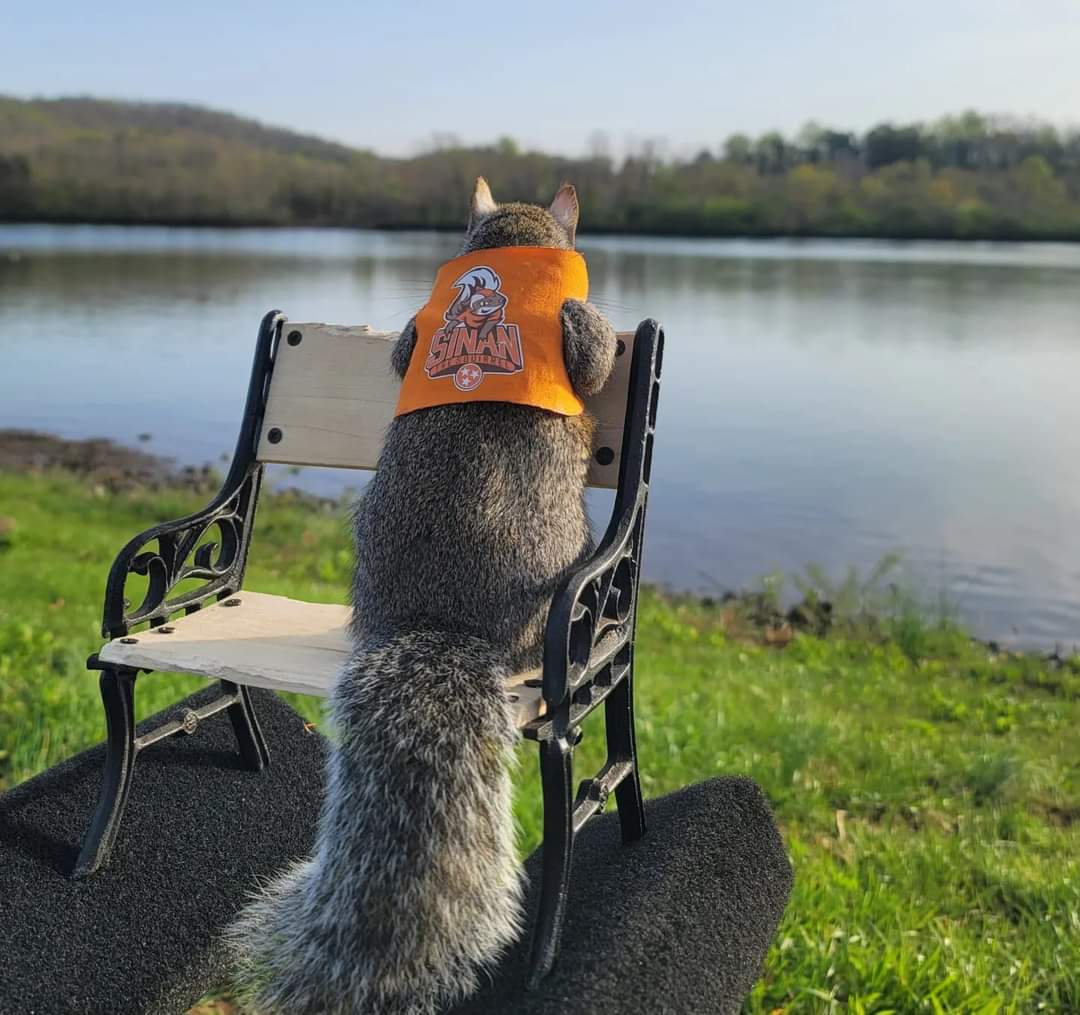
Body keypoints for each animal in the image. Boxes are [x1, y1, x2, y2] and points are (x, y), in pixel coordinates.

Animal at [228, 178, 617, 1015]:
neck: (510, 258)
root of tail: (440, 621)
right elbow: (594, 358)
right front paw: (593, 318)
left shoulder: (415, 336)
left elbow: (405, 346)